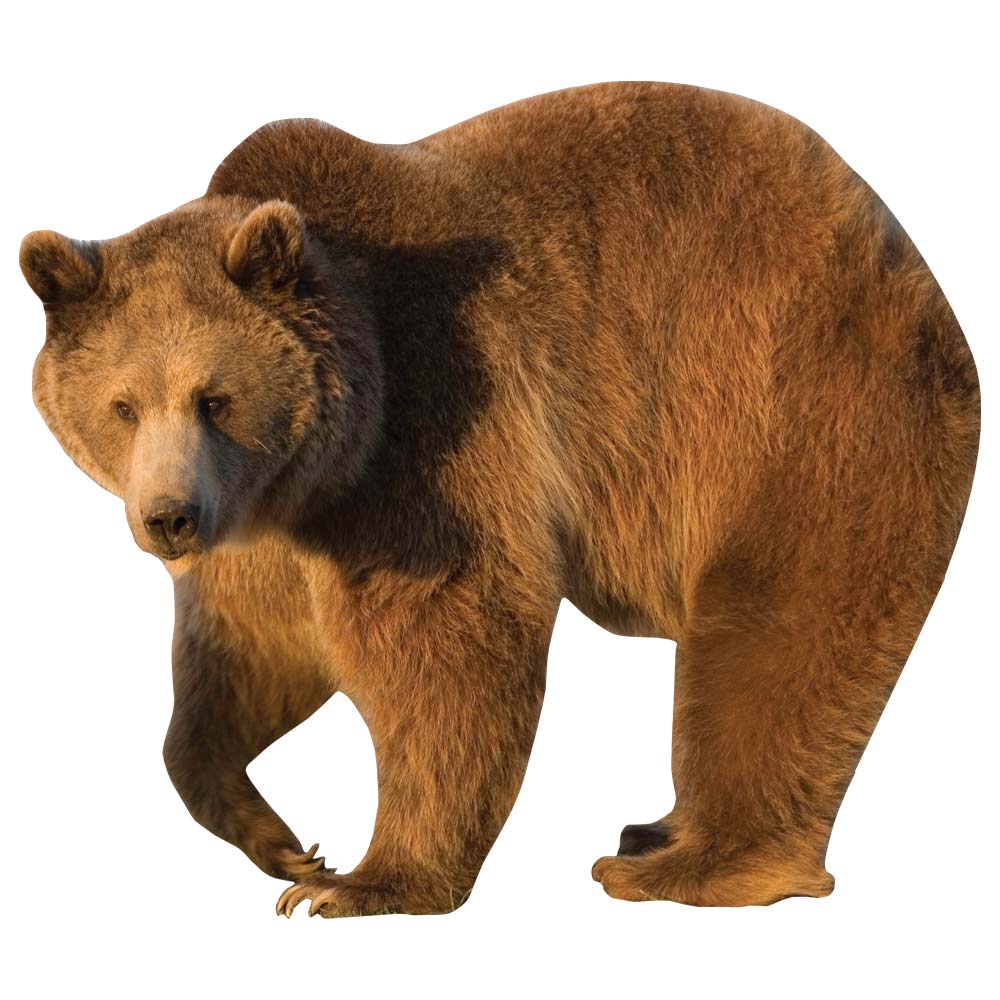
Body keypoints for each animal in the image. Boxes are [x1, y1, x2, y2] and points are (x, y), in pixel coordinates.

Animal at [20, 81, 979, 915]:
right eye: (123, 404)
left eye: (214, 397)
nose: (167, 518)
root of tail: (909, 256)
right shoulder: (265, 530)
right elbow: (247, 658)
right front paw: (285, 843)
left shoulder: (437, 424)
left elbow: (448, 642)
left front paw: (363, 883)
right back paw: (655, 831)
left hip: (793, 400)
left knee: (773, 634)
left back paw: (685, 866)